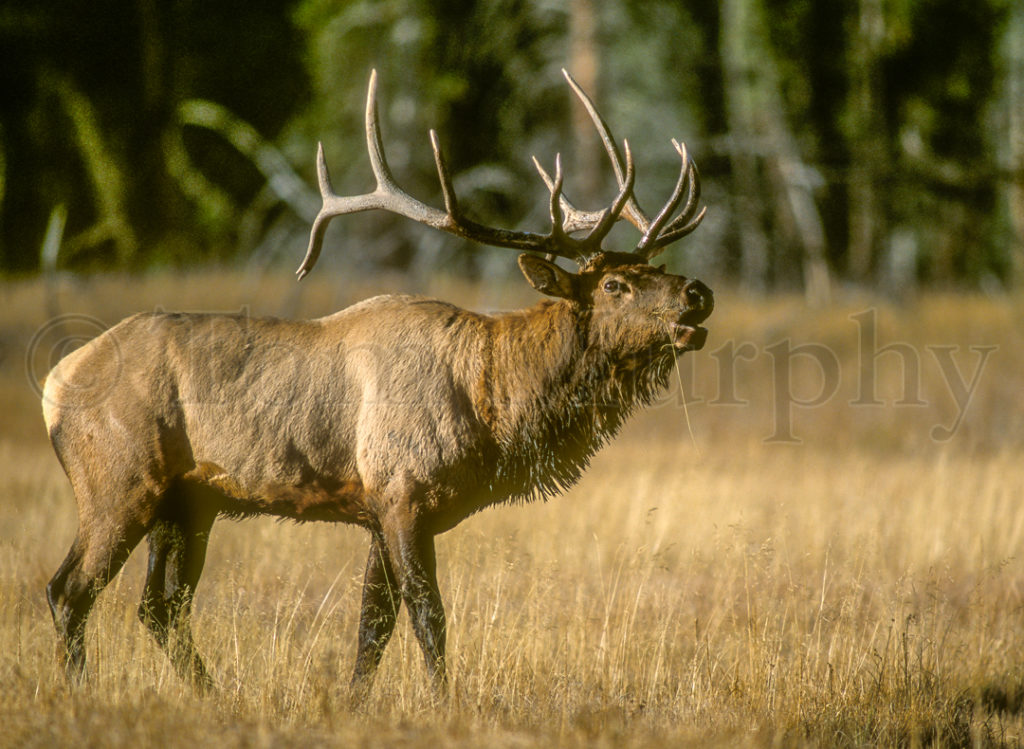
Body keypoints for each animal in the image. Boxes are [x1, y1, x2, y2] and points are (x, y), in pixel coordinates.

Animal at [42, 69, 713, 696]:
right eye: (614, 285)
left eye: (654, 267)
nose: (697, 292)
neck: (493, 405)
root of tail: (54, 383)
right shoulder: (402, 493)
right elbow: (427, 617)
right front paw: (444, 703)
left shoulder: (377, 507)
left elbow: (374, 625)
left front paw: (353, 704)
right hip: (119, 483)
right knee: (69, 590)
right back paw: (82, 693)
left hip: (188, 501)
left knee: (159, 607)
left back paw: (213, 696)